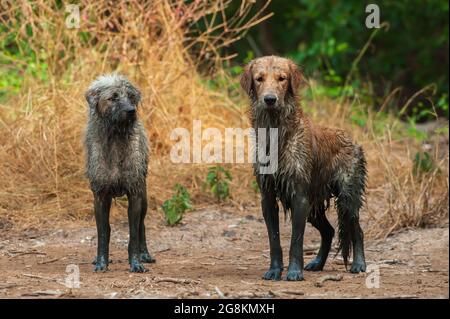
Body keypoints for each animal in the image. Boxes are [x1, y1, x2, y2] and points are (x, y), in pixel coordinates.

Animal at [84, 74, 155, 274]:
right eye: (113, 97)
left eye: (130, 96)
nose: (131, 111)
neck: (115, 137)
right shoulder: (100, 196)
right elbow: (103, 232)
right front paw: (101, 262)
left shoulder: (135, 194)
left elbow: (134, 233)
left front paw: (136, 263)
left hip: (144, 197)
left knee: (141, 226)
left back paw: (145, 254)